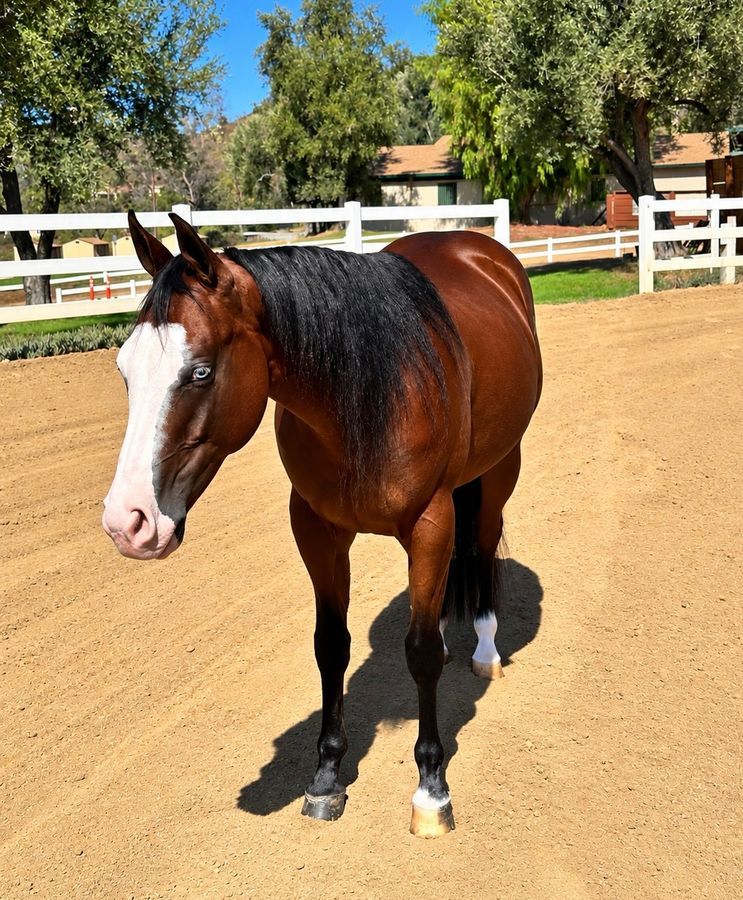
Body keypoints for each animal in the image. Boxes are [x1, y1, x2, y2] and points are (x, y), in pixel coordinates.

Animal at [102, 211, 542, 837]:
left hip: (501, 470)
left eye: (200, 371)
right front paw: (327, 777)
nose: (127, 521)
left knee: (480, 550)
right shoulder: (315, 529)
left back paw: (484, 650)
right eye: (125, 371)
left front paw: (431, 790)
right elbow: (331, 646)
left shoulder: (431, 524)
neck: (367, 389)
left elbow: (419, 654)